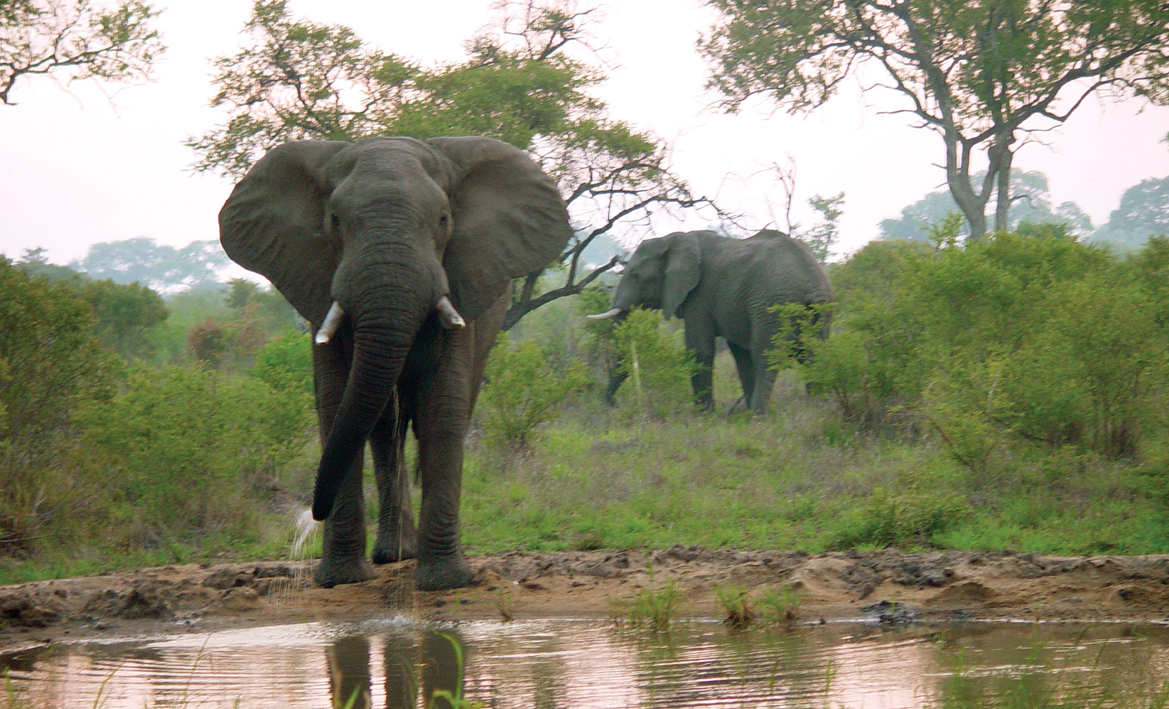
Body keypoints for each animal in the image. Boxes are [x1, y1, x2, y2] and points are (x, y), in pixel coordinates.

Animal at [219, 136, 572, 591]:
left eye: (443, 219)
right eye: (334, 220)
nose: (311, 514)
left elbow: (442, 410)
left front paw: (444, 582)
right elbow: (335, 403)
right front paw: (341, 580)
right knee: (385, 425)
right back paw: (394, 554)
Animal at [591, 229, 833, 414]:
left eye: (635, 275)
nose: (613, 405)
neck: (672, 239)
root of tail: (811, 281)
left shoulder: (699, 295)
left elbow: (700, 350)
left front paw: (704, 416)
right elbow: (740, 355)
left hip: (772, 304)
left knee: (766, 354)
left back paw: (759, 416)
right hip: (820, 308)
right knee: (813, 354)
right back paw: (817, 409)